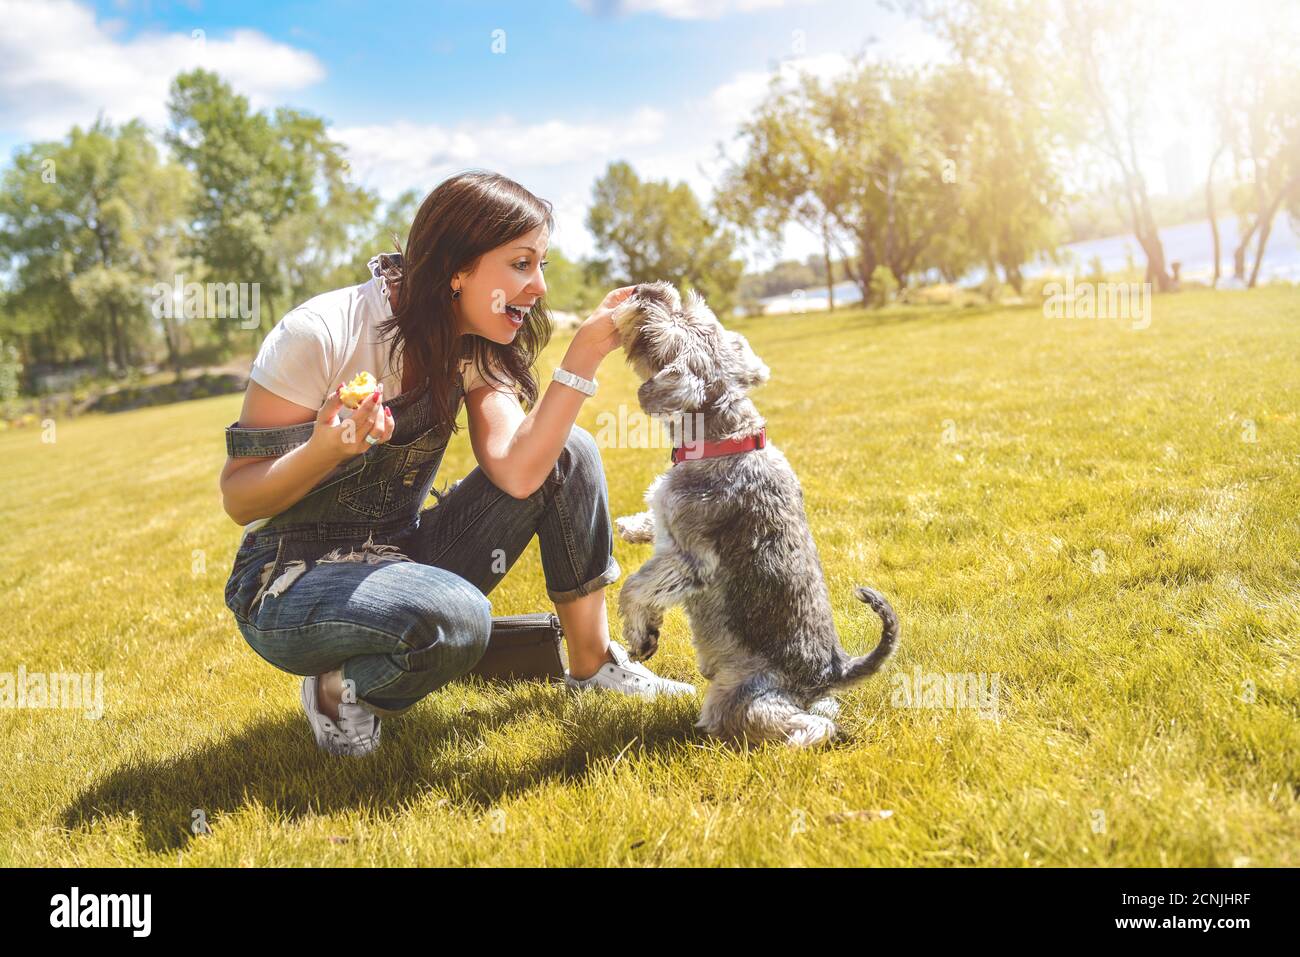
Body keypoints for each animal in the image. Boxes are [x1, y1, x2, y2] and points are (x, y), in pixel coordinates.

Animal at [605, 278, 894, 748]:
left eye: (665, 328)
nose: (646, 290)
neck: (726, 441)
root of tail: (833, 669)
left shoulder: (690, 560)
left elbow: (635, 586)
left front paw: (641, 635)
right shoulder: (670, 531)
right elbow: (652, 525)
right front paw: (631, 527)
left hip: (740, 696)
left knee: (810, 724)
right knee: (824, 710)